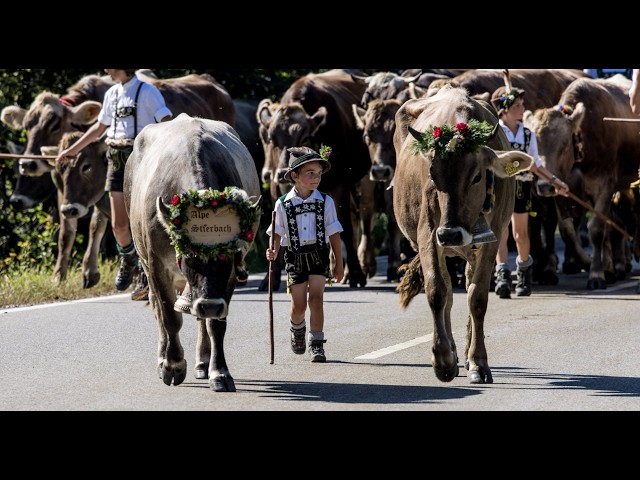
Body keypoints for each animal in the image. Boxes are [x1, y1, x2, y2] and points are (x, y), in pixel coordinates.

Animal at [124, 113, 262, 394]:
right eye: (189, 256)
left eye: (229, 256)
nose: (210, 305)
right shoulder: (157, 266)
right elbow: (169, 317)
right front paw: (173, 366)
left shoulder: (230, 276)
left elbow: (216, 323)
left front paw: (219, 372)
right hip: (145, 261)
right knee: (159, 310)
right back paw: (163, 358)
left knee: (199, 316)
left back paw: (203, 362)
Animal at [258, 69, 372, 290]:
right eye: (272, 139)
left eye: (304, 138)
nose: (282, 171)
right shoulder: (277, 187)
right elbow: (278, 233)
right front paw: (270, 278)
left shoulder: (340, 184)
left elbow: (344, 229)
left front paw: (355, 274)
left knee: (356, 222)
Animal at [392, 84, 532, 384]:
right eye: (433, 175)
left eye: (477, 176)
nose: (451, 235)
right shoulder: (428, 236)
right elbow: (437, 292)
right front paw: (443, 360)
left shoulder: (492, 241)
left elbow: (477, 297)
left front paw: (478, 362)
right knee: (447, 291)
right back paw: (454, 355)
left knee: (466, 287)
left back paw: (467, 355)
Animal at [520, 77, 640, 290]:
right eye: (532, 145)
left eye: (564, 144)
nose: (544, 186)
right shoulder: (562, 187)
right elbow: (567, 230)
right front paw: (586, 263)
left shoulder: (605, 185)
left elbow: (597, 229)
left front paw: (596, 274)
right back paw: (613, 266)